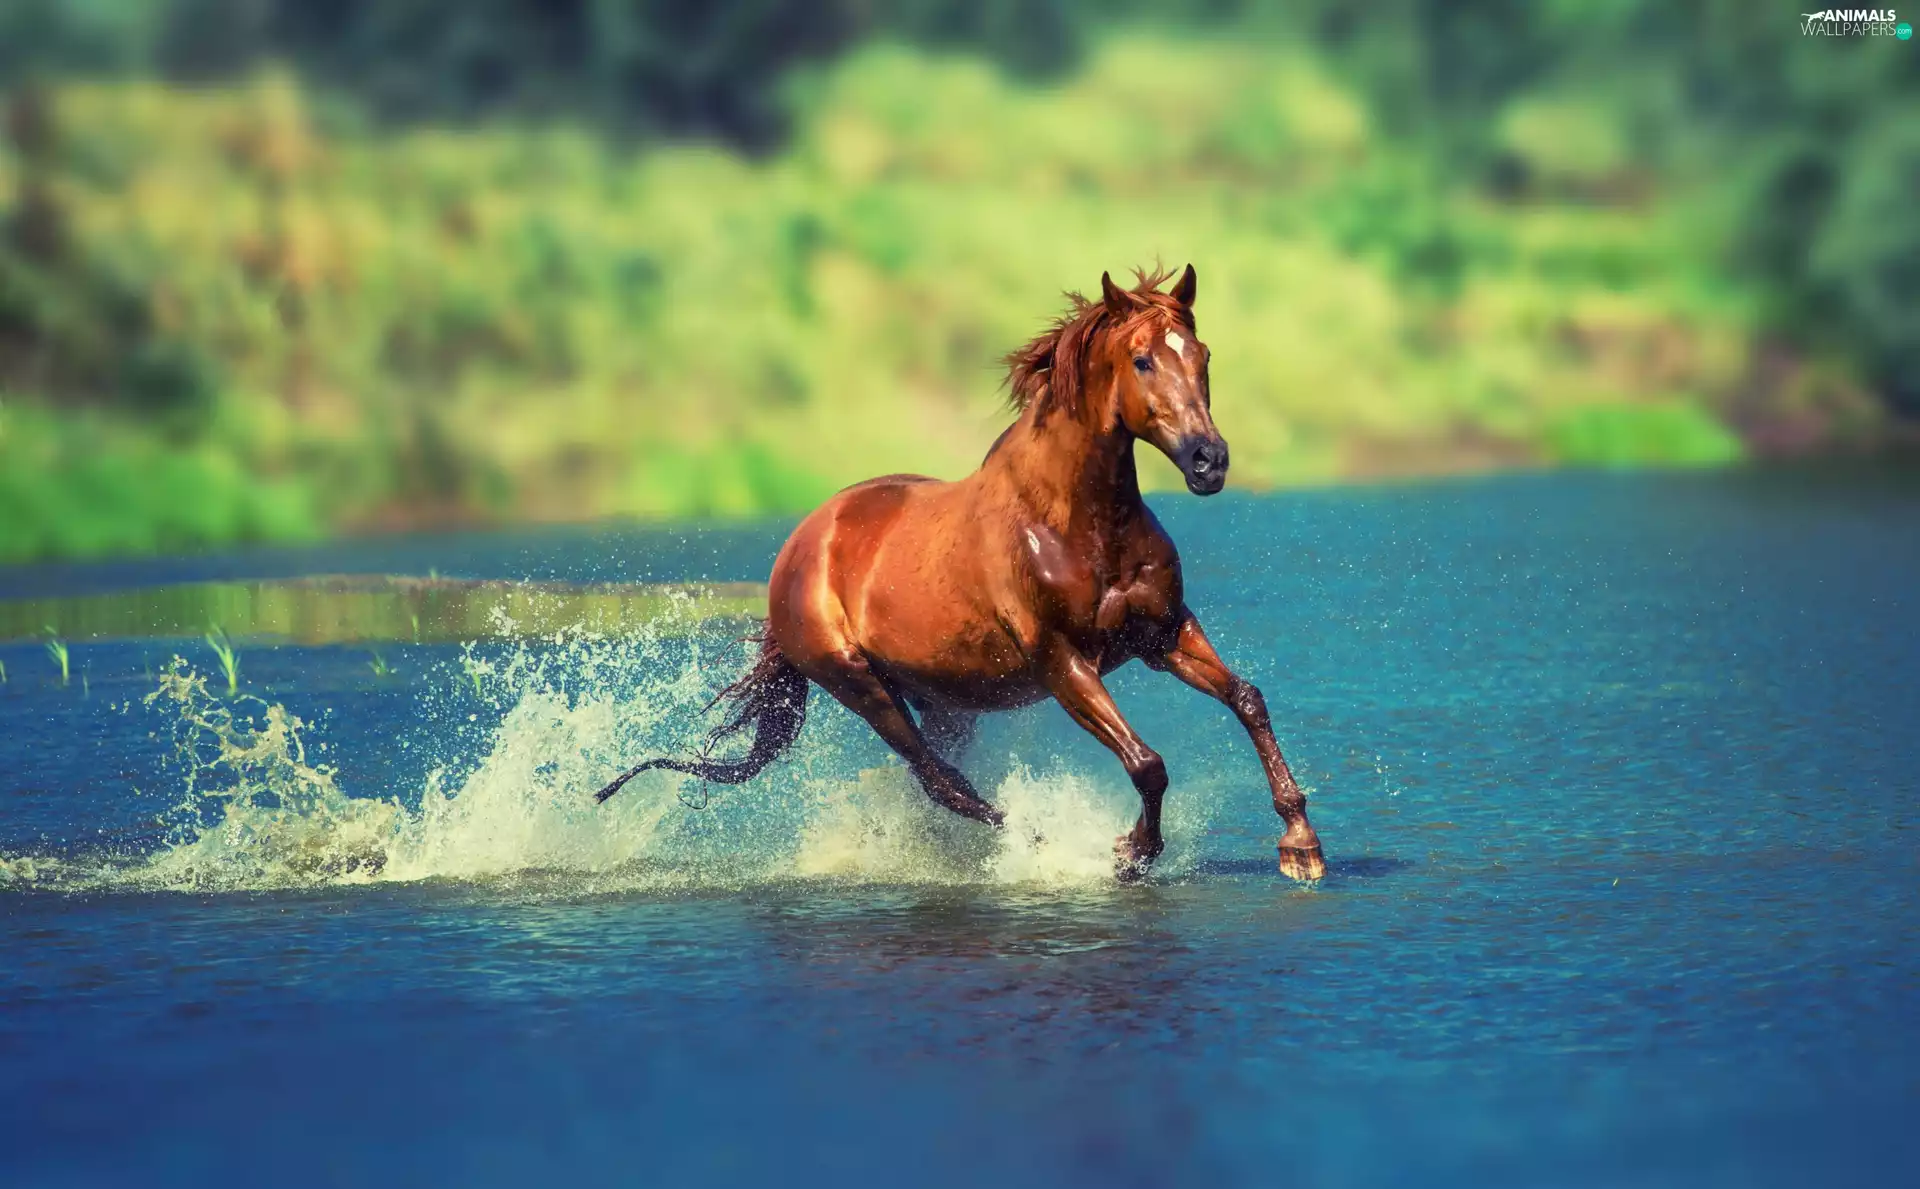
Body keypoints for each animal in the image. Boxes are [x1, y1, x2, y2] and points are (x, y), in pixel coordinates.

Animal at [595, 264, 1326, 882]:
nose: (1209, 461)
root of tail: (799, 548)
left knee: (941, 780)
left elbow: (1247, 699)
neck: (1074, 523)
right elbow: (1147, 763)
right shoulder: (1064, 661)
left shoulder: (1163, 632)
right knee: (942, 780)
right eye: (1142, 358)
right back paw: (1040, 843)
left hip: (942, 697)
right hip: (859, 684)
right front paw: (1129, 853)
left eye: (1202, 357)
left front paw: (1301, 846)